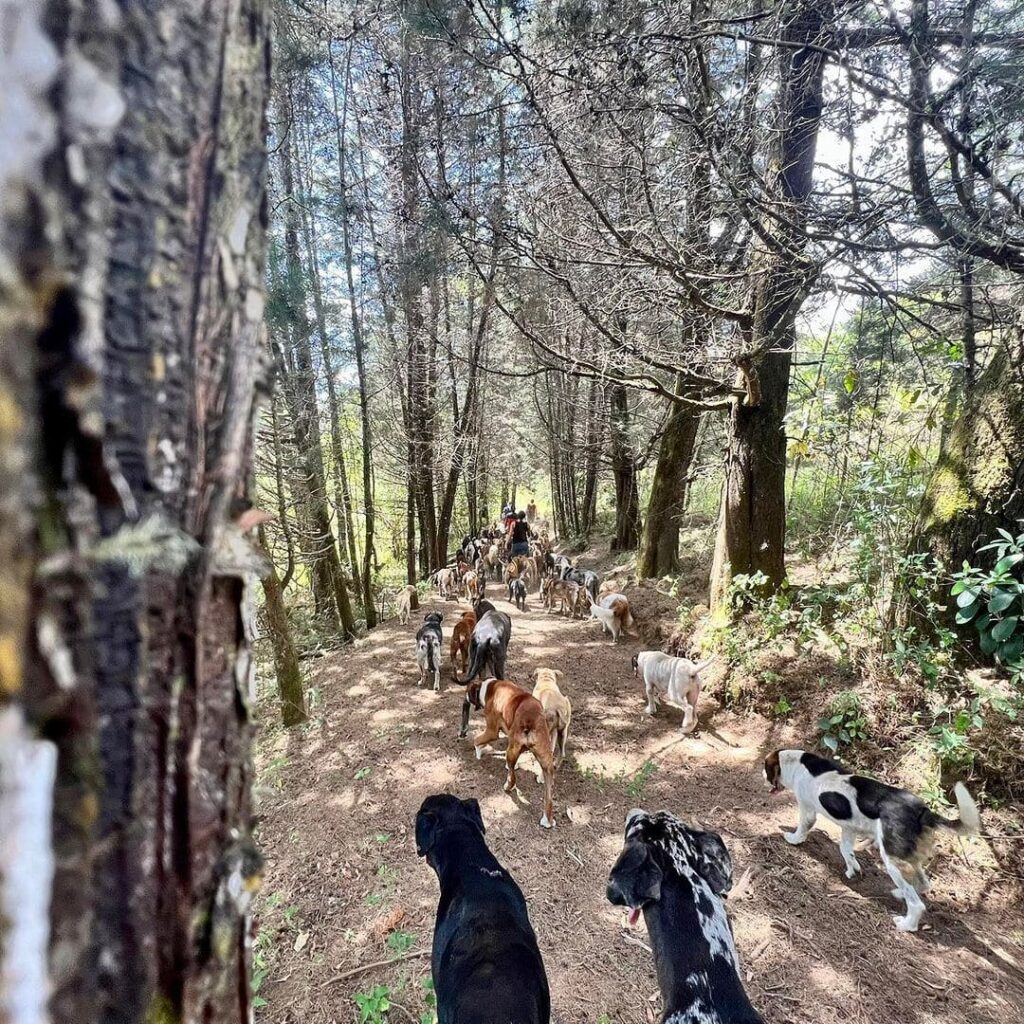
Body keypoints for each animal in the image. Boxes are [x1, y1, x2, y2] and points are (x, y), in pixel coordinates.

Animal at [460, 675, 557, 827]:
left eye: (467, 691)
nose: (464, 697)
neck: (488, 688)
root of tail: (531, 719)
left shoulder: (492, 731)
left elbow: (477, 740)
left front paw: (478, 752)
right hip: (546, 762)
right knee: (549, 797)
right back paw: (547, 820)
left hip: (512, 750)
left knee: (512, 776)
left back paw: (507, 786)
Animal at [765, 749, 978, 933]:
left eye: (765, 768)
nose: (761, 774)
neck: (799, 763)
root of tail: (923, 811)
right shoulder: (849, 828)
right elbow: (845, 850)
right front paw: (852, 870)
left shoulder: (807, 810)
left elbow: (803, 829)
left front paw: (793, 839)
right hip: (908, 859)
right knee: (923, 884)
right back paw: (900, 894)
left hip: (893, 861)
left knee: (917, 903)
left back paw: (906, 924)